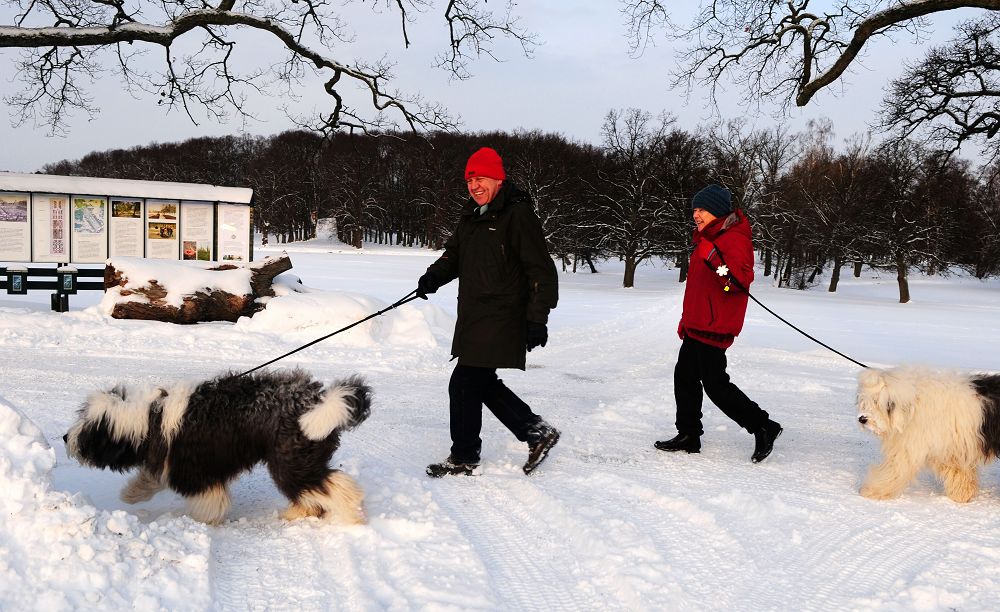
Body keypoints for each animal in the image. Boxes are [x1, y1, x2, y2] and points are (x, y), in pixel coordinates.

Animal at [852, 368, 1000, 502]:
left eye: (877, 402)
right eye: (864, 402)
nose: (862, 419)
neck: (913, 407)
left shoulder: (911, 449)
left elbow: (895, 469)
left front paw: (872, 491)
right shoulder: (950, 450)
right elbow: (960, 472)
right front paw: (962, 494)